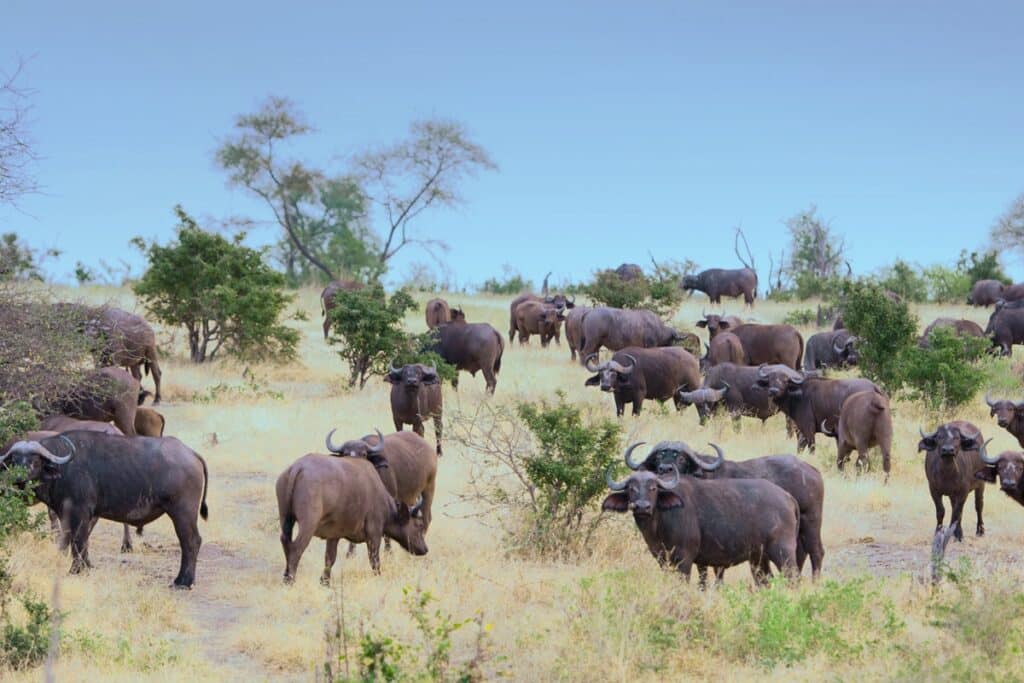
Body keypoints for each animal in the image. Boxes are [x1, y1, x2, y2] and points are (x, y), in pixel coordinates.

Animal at [0, 432, 209, 589]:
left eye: (34, 461)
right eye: (14, 461)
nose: (19, 479)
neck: (64, 468)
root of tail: (191, 453)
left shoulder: (80, 513)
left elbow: (78, 541)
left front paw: (77, 570)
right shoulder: (70, 515)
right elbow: (76, 541)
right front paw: (85, 567)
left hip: (182, 513)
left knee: (191, 541)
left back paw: (183, 582)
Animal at [274, 450, 425, 581]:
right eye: (418, 525)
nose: (425, 549)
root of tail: (297, 468)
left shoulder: (333, 535)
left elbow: (330, 559)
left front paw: (325, 581)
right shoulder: (374, 534)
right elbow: (374, 561)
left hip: (286, 519)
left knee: (285, 542)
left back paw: (285, 575)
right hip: (308, 524)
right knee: (296, 548)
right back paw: (290, 579)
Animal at [598, 454, 798, 589]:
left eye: (653, 488)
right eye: (631, 489)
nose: (642, 507)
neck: (659, 525)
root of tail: (787, 496)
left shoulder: (684, 559)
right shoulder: (662, 559)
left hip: (783, 552)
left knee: (793, 578)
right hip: (759, 558)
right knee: (765, 581)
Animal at [626, 440, 827, 581]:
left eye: (681, 458)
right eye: (659, 457)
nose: (665, 468)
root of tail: (812, 470)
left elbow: (715, 569)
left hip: (811, 522)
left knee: (816, 552)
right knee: (800, 553)